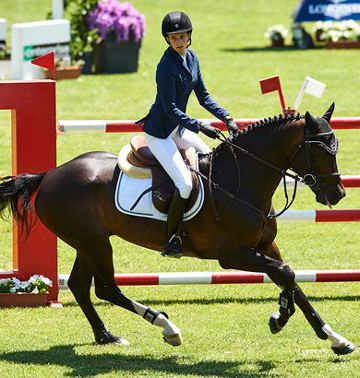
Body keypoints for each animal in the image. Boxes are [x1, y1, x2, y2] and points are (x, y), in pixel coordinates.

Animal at [0, 102, 354, 354]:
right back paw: (166, 327)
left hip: (88, 242)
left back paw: (106, 335)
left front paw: (335, 338)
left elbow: (291, 280)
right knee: (106, 289)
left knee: (80, 286)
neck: (241, 180)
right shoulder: (231, 255)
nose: (336, 193)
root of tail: (49, 175)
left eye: (336, 146)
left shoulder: (265, 246)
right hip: (95, 243)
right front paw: (280, 317)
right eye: (319, 150)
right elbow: (286, 275)